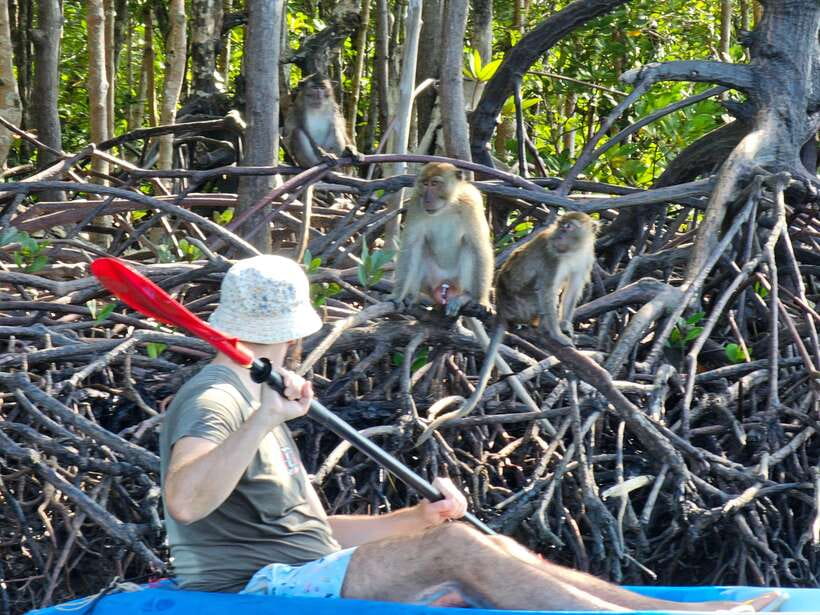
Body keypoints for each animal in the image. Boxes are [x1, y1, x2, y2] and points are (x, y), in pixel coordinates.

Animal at [393, 162, 493, 318]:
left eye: (434, 184)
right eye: (425, 183)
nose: (427, 199)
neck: (447, 207)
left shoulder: (471, 202)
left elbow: (479, 247)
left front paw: (482, 301)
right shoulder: (416, 204)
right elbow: (411, 247)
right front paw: (398, 296)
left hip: (457, 283)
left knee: (468, 247)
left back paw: (465, 297)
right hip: (430, 282)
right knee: (420, 250)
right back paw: (412, 297)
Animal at [415, 212, 596, 445]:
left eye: (568, 227)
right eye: (560, 226)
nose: (557, 236)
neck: (574, 251)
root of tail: (502, 309)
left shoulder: (585, 259)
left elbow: (573, 288)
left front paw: (565, 325)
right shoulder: (552, 260)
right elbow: (546, 290)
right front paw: (557, 334)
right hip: (521, 304)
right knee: (540, 293)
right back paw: (540, 327)